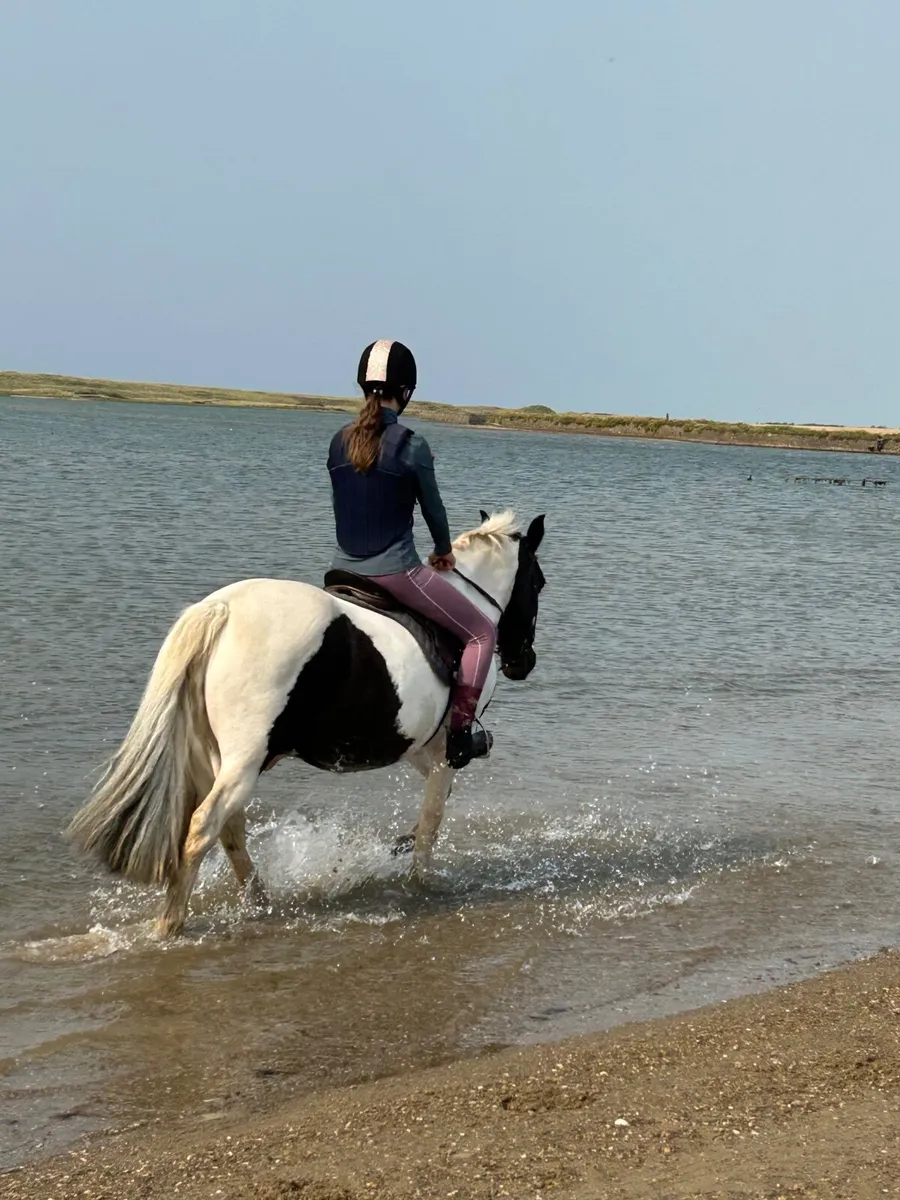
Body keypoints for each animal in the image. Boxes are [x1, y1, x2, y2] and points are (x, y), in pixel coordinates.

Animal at [67, 510, 546, 936]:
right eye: (538, 582)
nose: (523, 662)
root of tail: (221, 610)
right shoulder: (446, 747)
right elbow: (434, 816)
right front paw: (420, 882)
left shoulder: (421, 747)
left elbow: (434, 803)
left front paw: (400, 846)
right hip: (243, 759)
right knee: (204, 826)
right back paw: (171, 925)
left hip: (213, 757)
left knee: (229, 829)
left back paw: (259, 900)